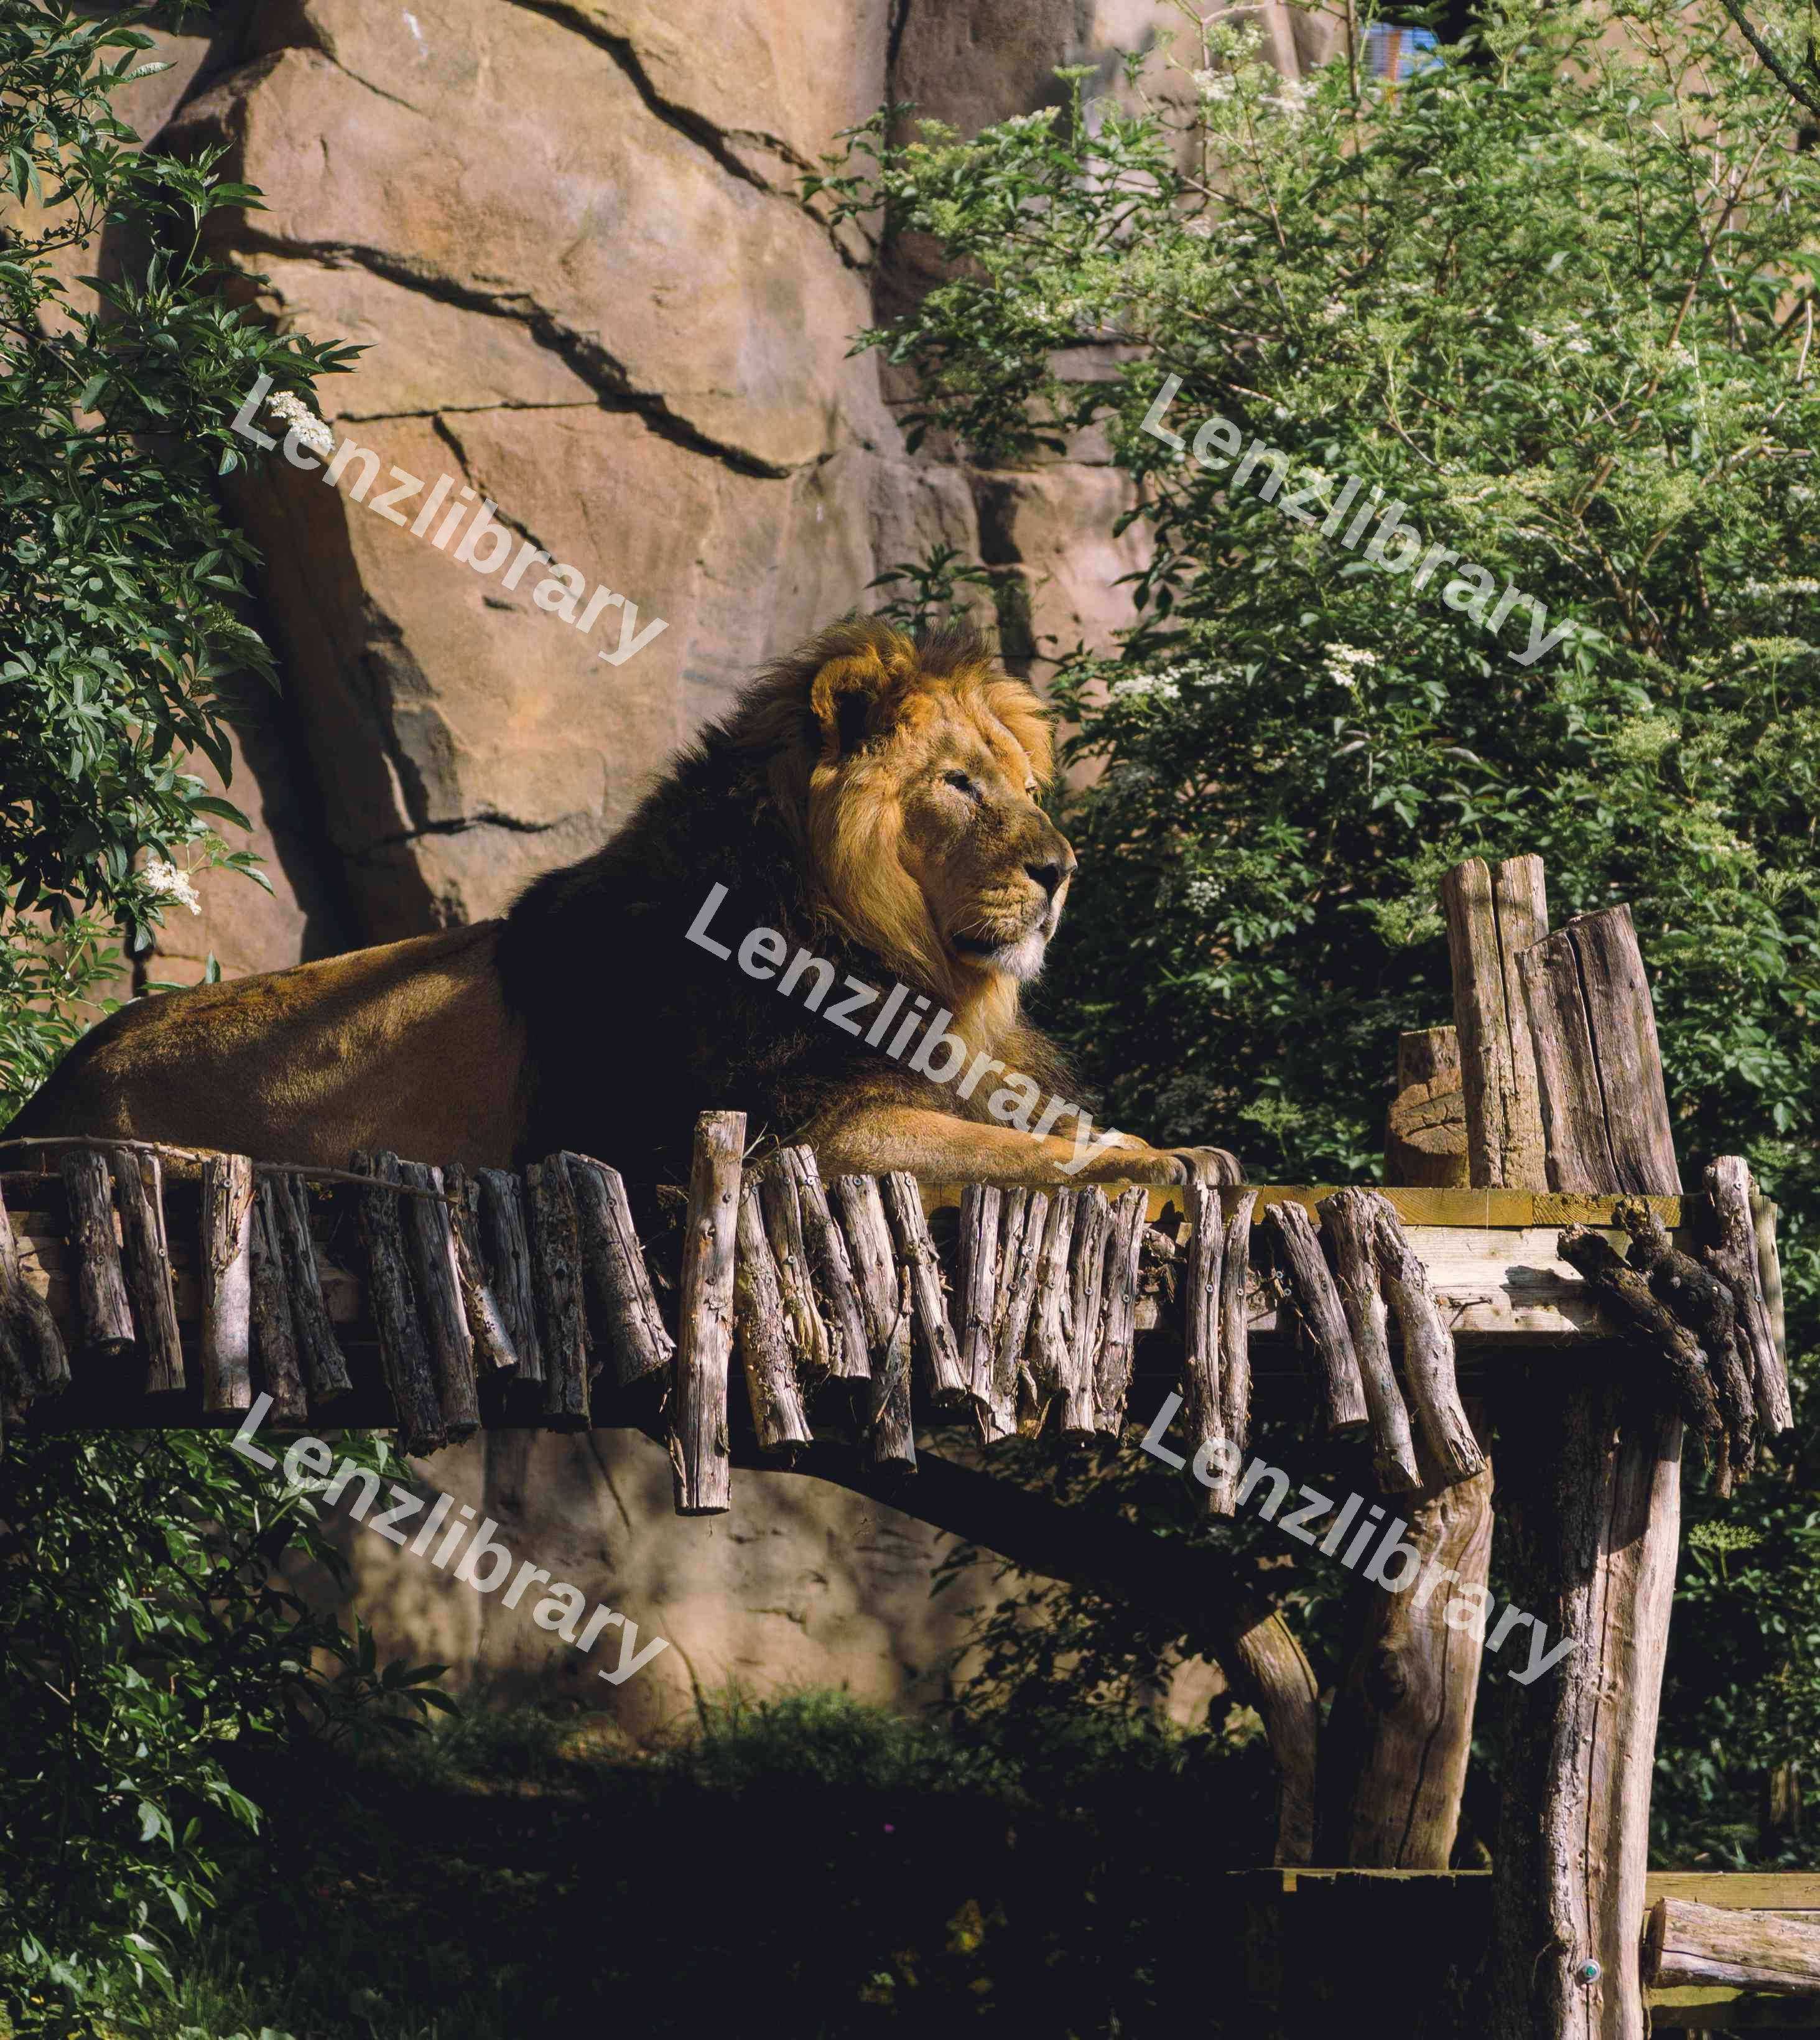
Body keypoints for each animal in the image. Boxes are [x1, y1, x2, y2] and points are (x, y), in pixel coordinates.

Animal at [12, 619, 1238, 1191]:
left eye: (1026, 785)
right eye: (959, 784)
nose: (1061, 868)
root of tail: (45, 1097)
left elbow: (1037, 1124)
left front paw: (1174, 1143)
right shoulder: (796, 1133)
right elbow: (1010, 1152)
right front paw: (1159, 1163)